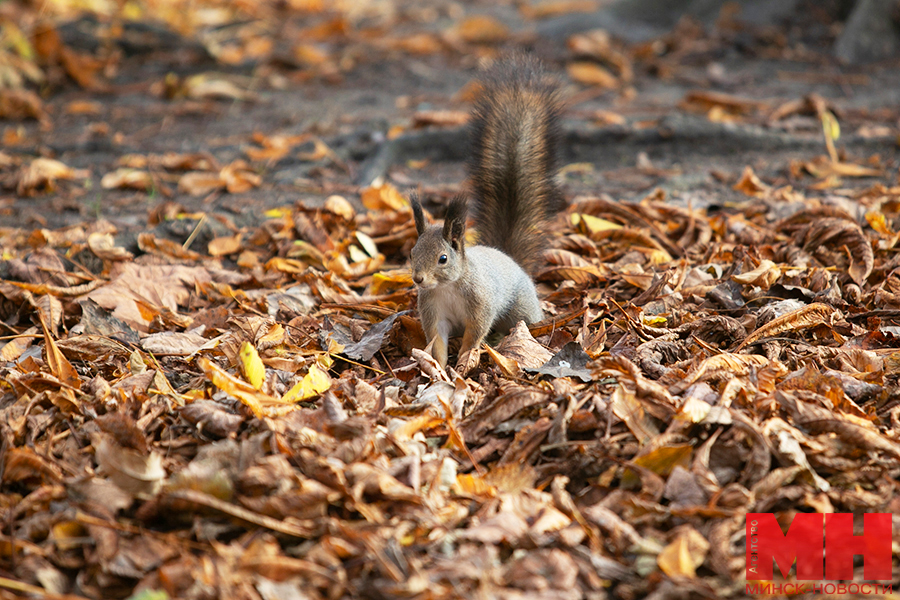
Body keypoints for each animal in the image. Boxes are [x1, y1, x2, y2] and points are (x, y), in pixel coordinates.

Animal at [410, 57, 564, 370]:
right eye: (411, 252)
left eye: (443, 258)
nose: (418, 279)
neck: (448, 287)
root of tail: (508, 257)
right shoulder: (433, 310)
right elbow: (437, 340)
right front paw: (439, 367)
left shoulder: (481, 305)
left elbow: (475, 333)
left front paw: (464, 362)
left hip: (521, 308)